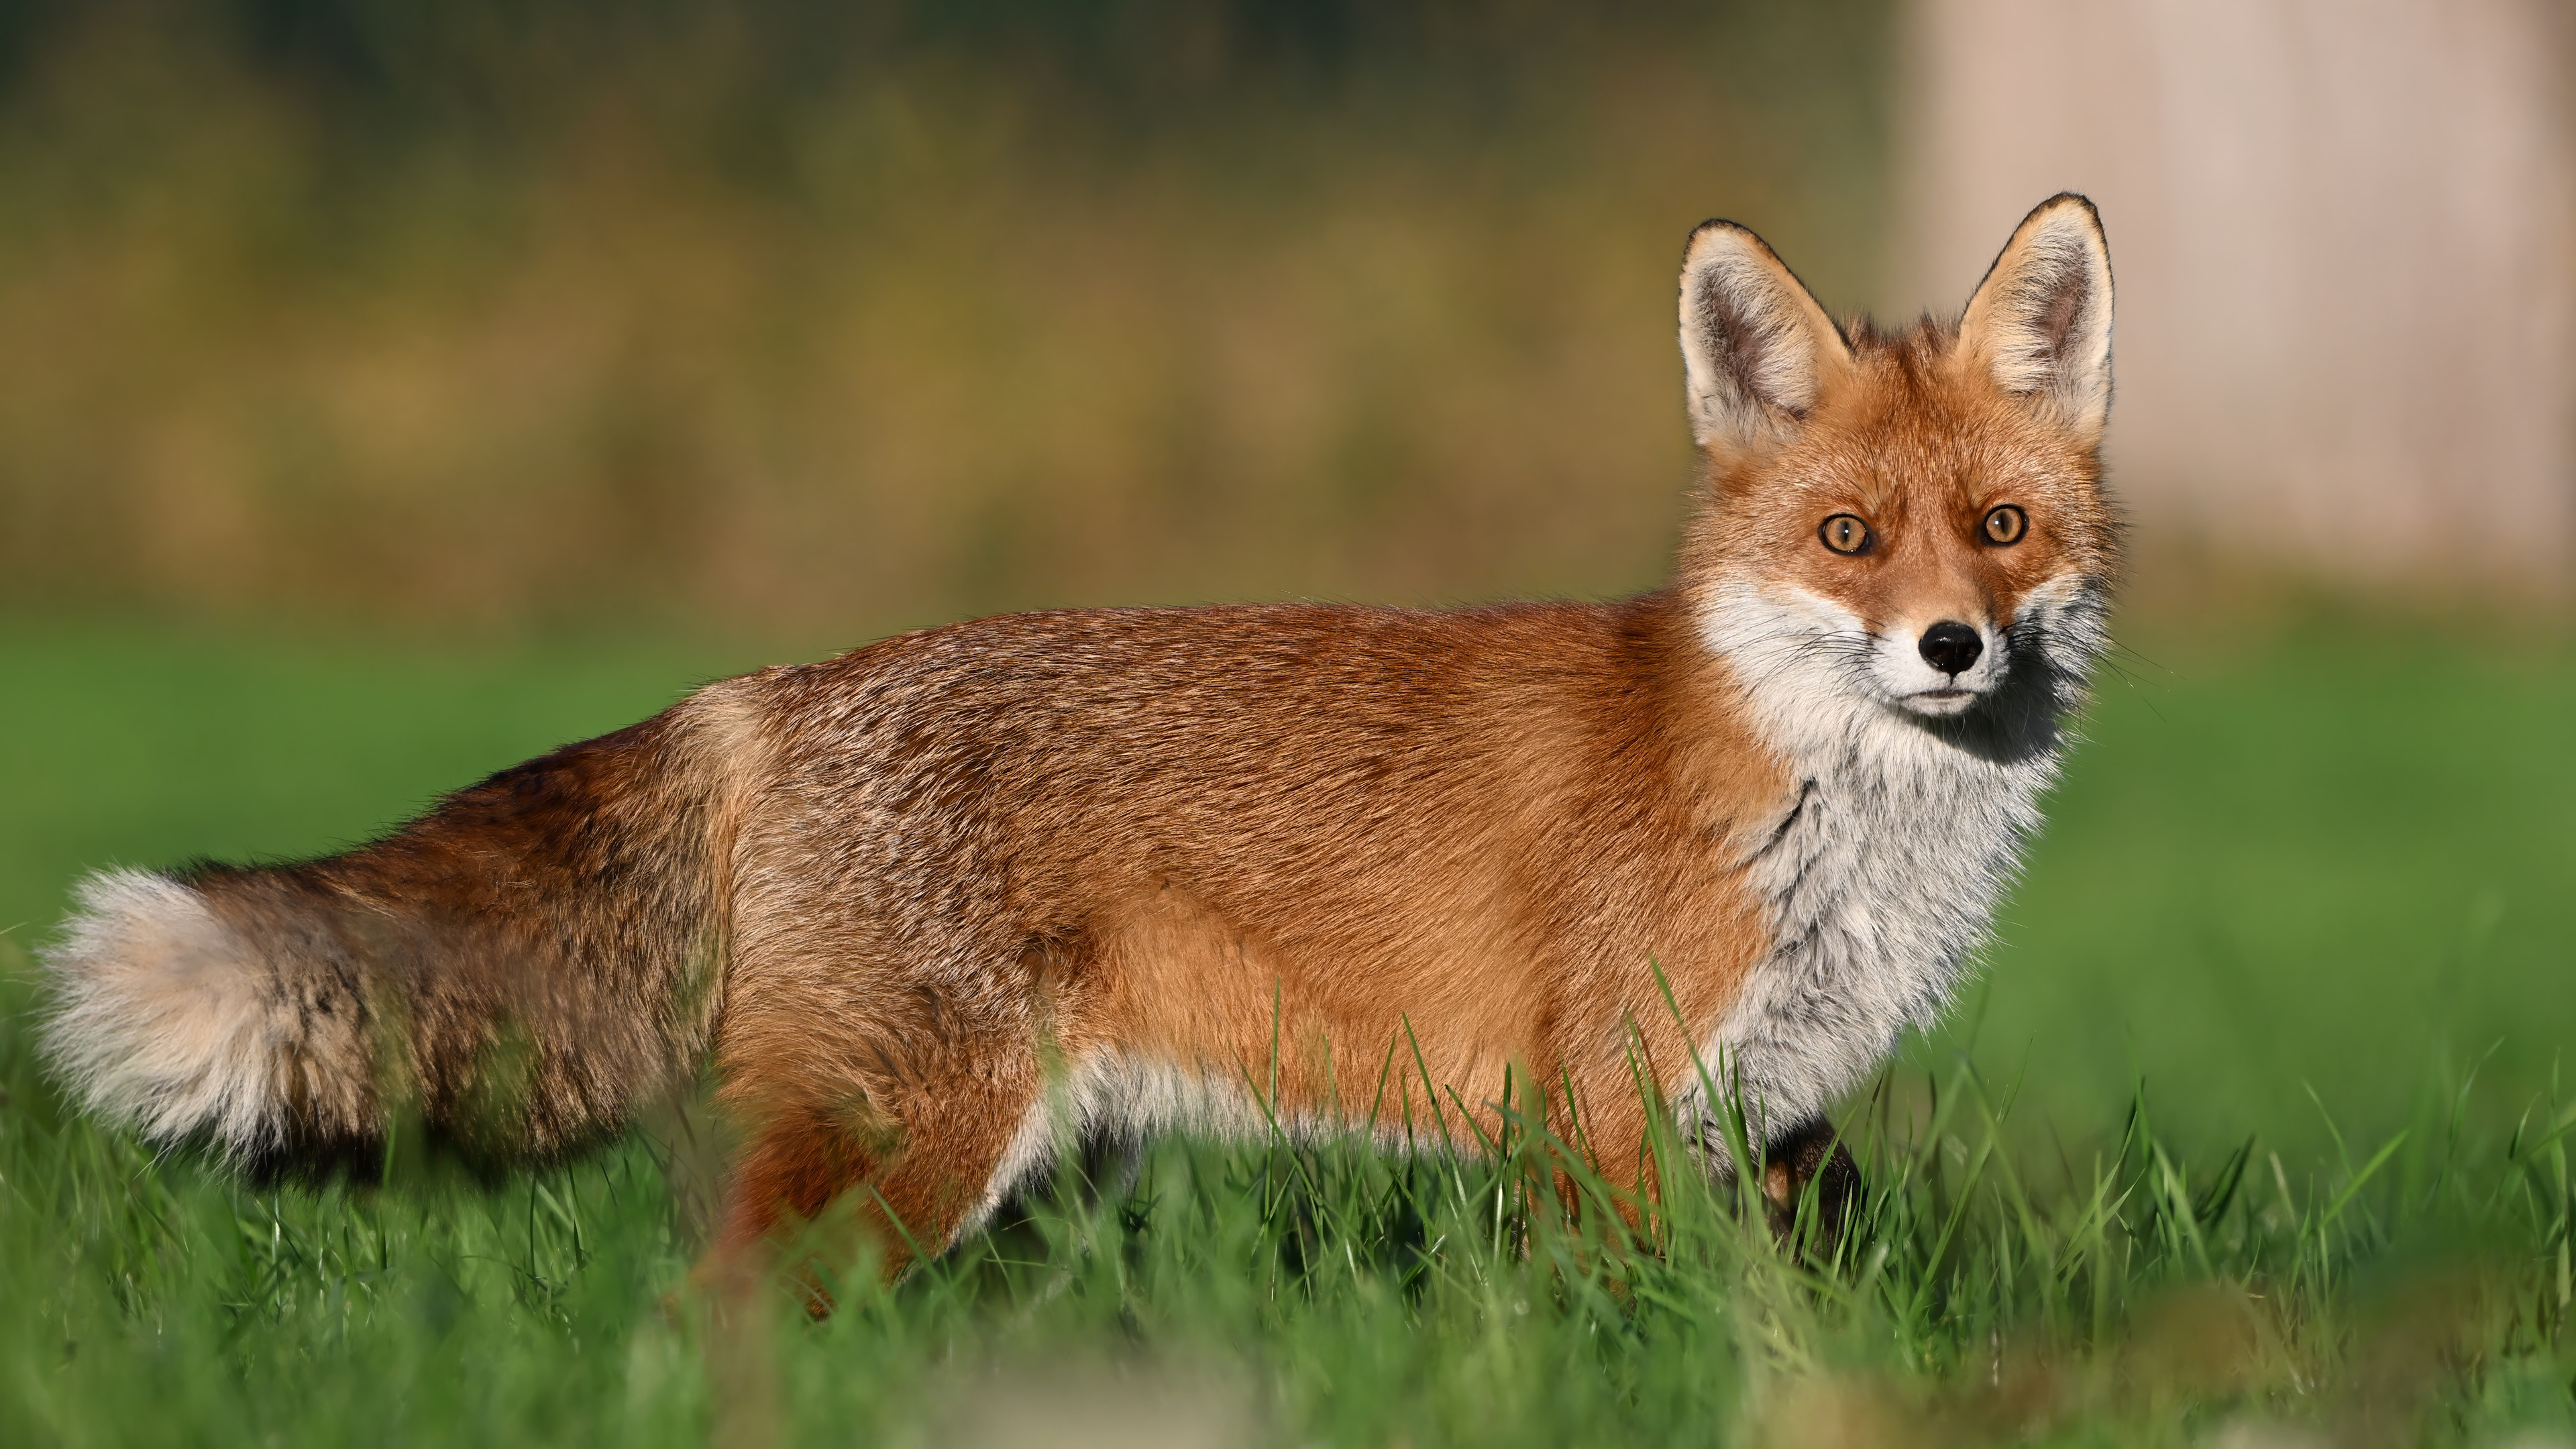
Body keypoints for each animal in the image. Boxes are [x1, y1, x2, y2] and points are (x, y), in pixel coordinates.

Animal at [40, 194, 2116, 1288]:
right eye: (1848, 539)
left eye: (2000, 529)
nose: (1949, 645)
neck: (1827, 817)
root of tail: (772, 691)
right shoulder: (1600, 1110)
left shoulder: (1767, 1122)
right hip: (917, 1138)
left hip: (1024, 1171)